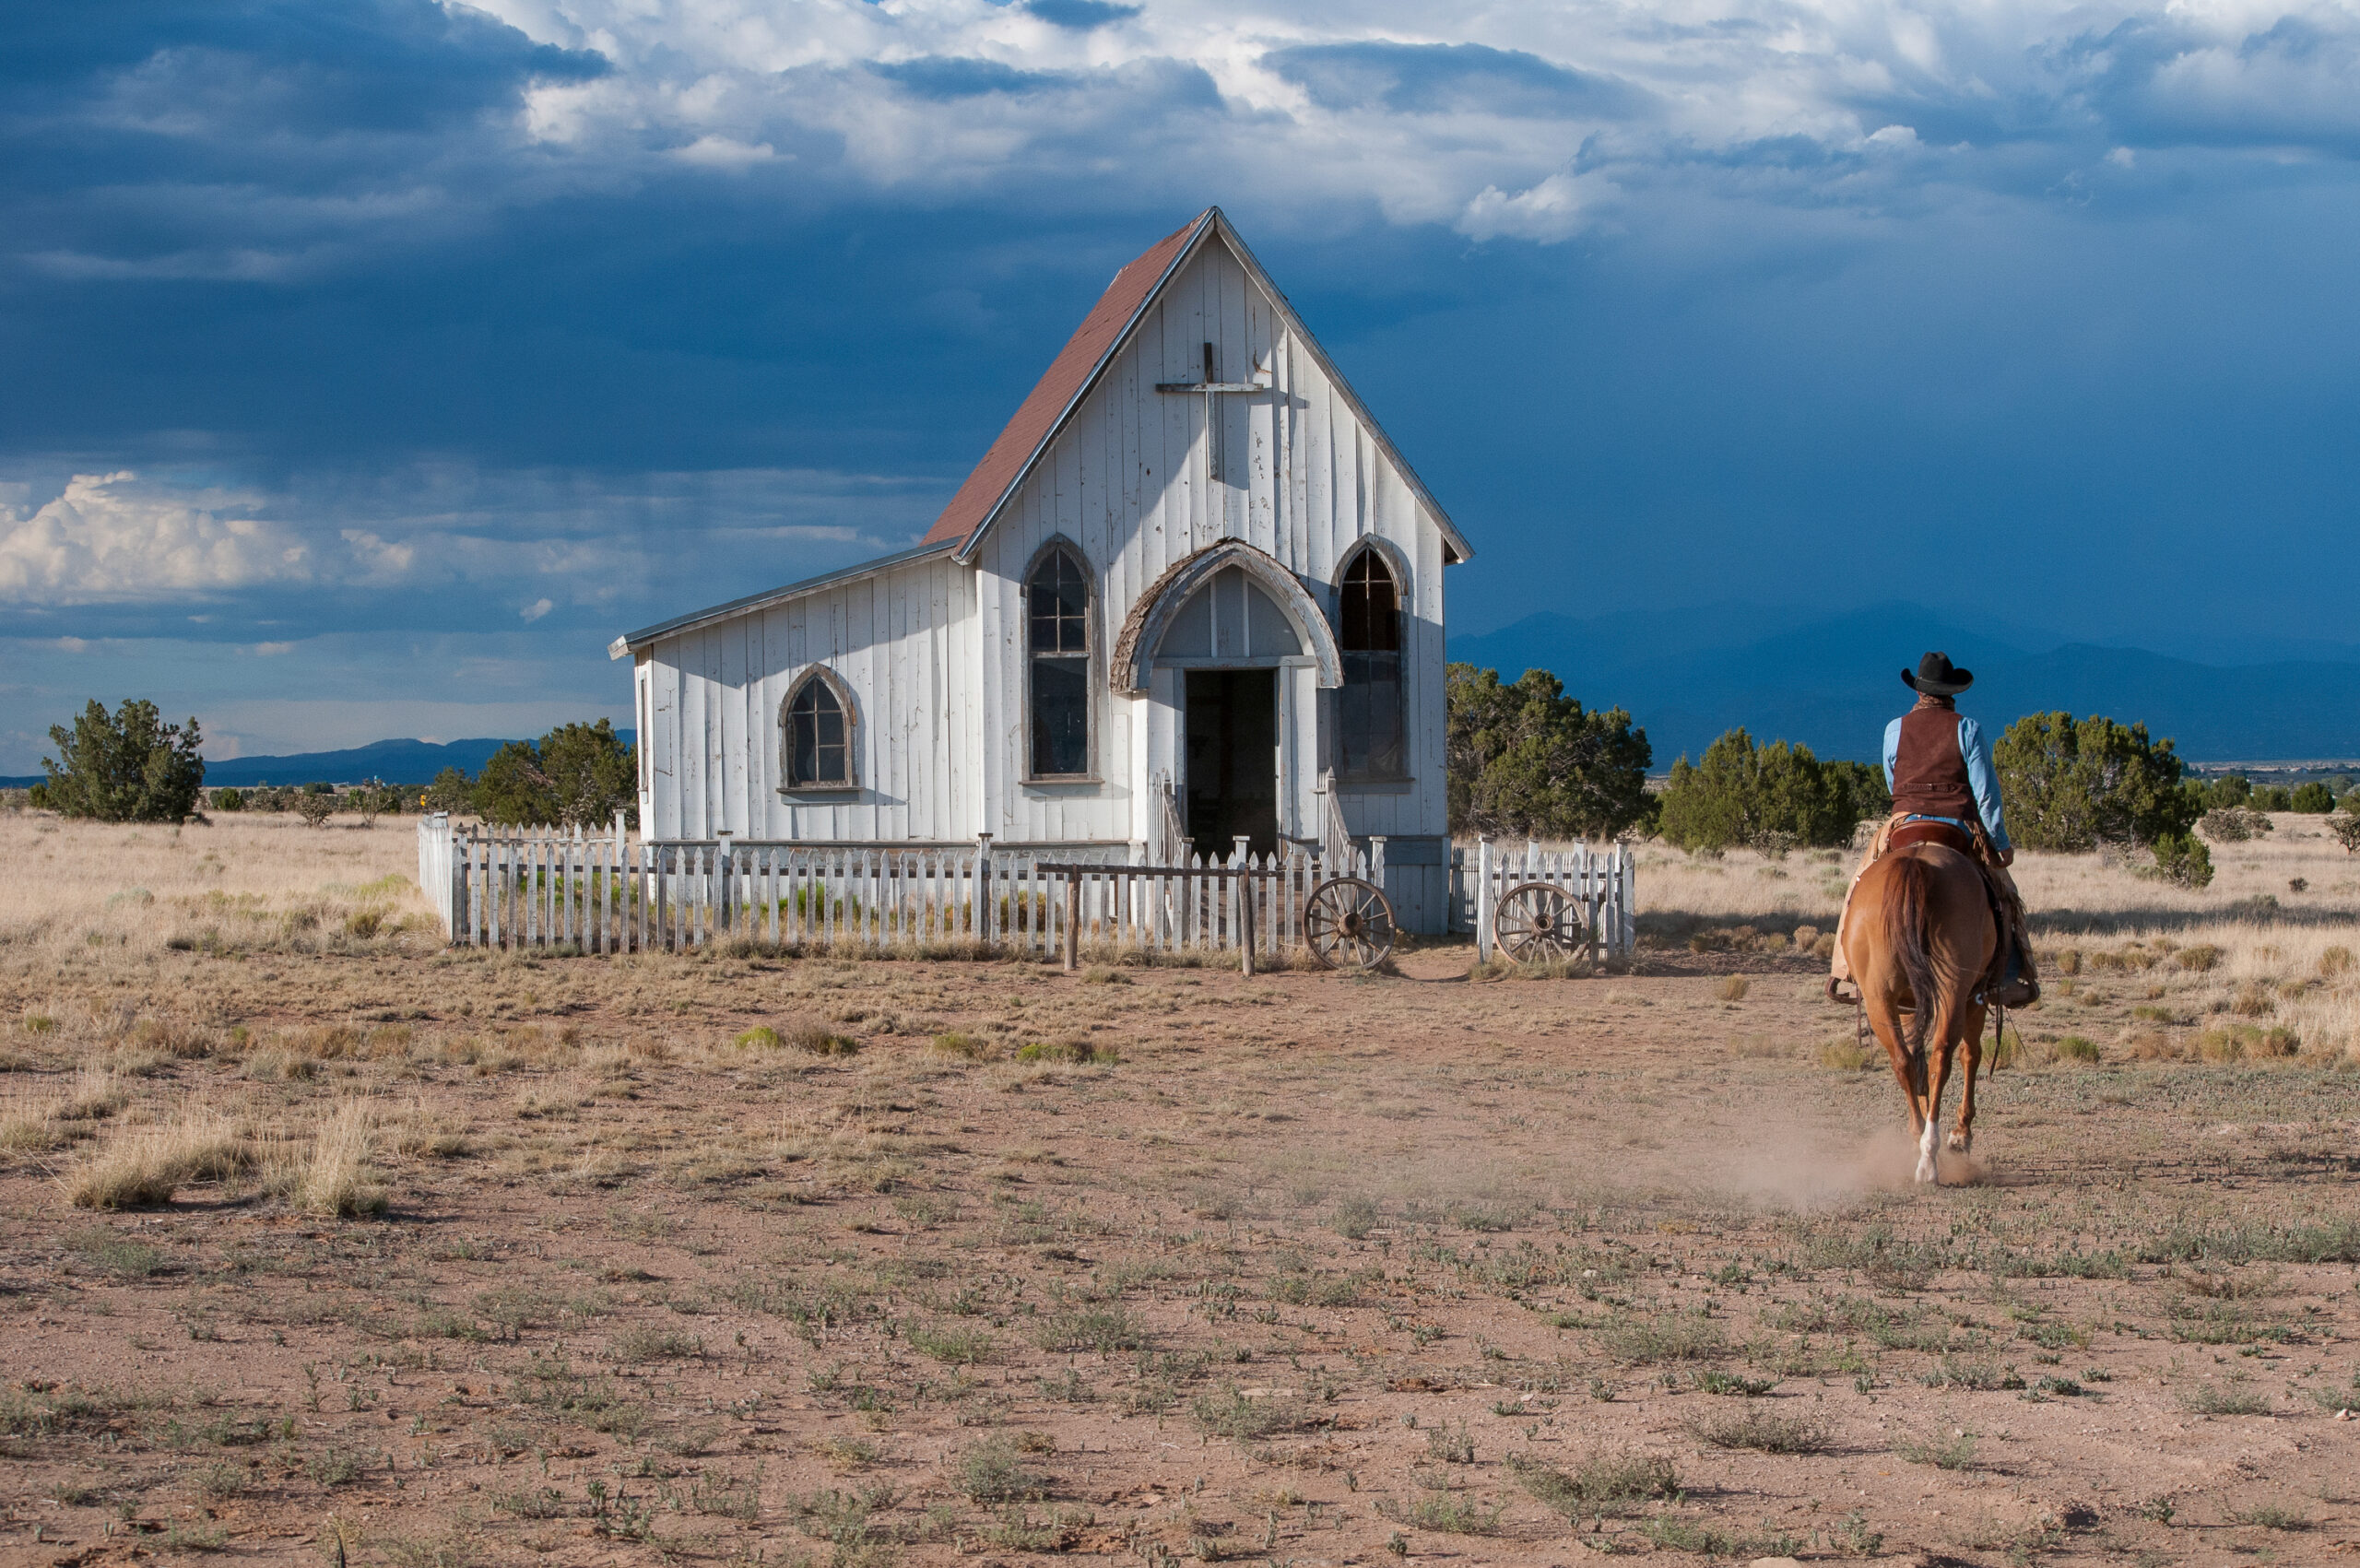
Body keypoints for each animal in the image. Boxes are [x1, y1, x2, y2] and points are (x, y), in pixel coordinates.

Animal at [1840, 840, 1991, 1180]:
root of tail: (1916, 864)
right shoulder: (1977, 996)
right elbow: (1971, 1055)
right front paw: (1962, 1135)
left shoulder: (1908, 1003)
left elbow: (1918, 1062)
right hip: (1954, 990)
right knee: (1943, 1056)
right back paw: (1930, 1152)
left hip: (1880, 997)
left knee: (1906, 1061)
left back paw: (1921, 1147)